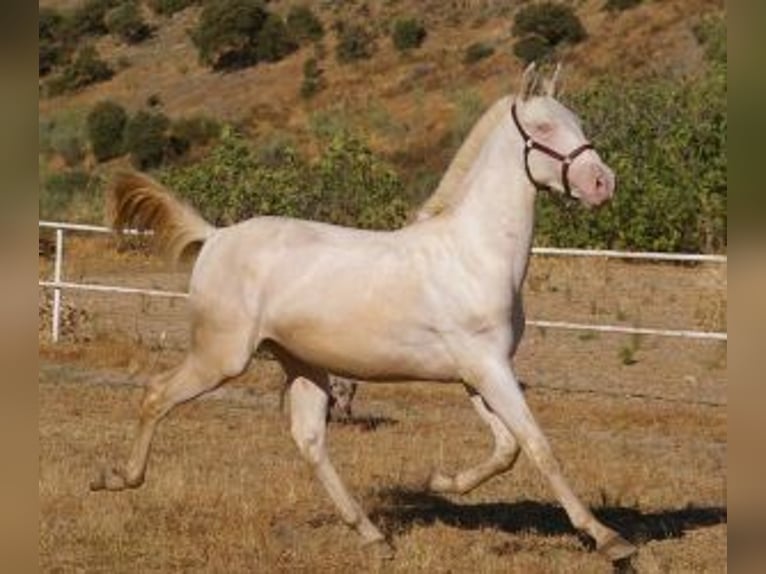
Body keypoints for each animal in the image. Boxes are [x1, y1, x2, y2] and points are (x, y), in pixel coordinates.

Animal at [90, 64, 636, 562]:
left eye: (578, 122)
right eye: (543, 128)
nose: (602, 183)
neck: (472, 253)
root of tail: (216, 236)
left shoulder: (478, 373)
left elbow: (507, 449)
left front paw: (439, 481)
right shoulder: (487, 367)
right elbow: (539, 447)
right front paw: (609, 540)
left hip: (301, 363)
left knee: (309, 440)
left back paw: (373, 535)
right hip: (221, 357)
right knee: (157, 394)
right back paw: (115, 477)